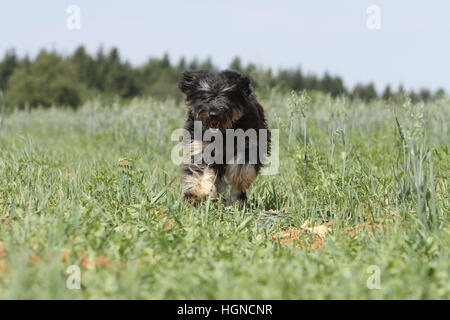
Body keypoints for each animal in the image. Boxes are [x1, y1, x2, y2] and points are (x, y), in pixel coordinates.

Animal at [178, 69, 268, 206]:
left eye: (228, 95)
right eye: (204, 94)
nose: (214, 114)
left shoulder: (249, 143)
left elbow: (241, 164)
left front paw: (238, 179)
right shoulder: (199, 146)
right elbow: (200, 170)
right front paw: (198, 191)